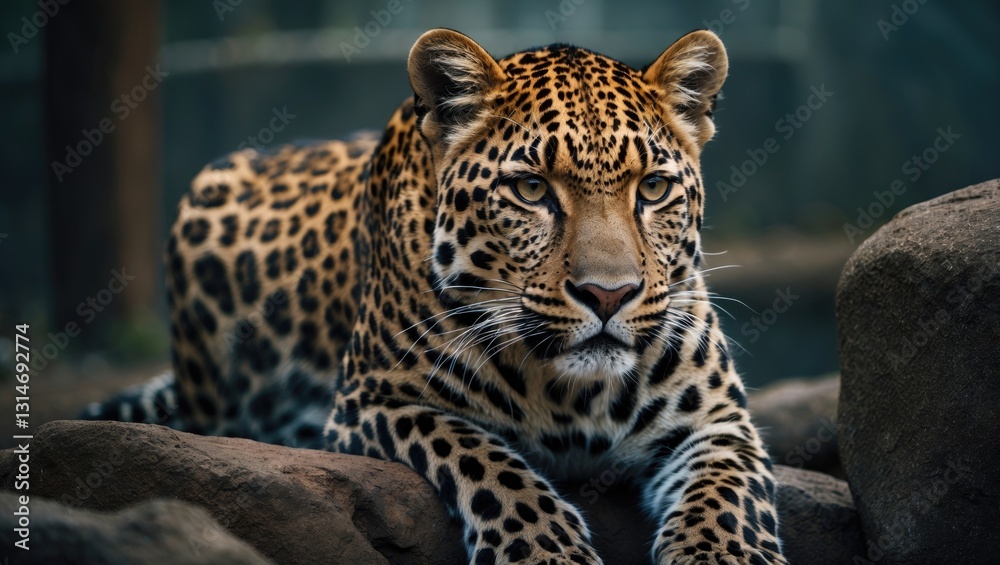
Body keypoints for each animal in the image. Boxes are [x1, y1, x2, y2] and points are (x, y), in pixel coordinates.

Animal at [83, 28, 787, 565]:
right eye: (531, 189)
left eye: (653, 188)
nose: (607, 295)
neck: (570, 393)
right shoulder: (376, 399)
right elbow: (490, 464)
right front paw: (545, 552)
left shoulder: (718, 420)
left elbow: (727, 500)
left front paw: (726, 553)